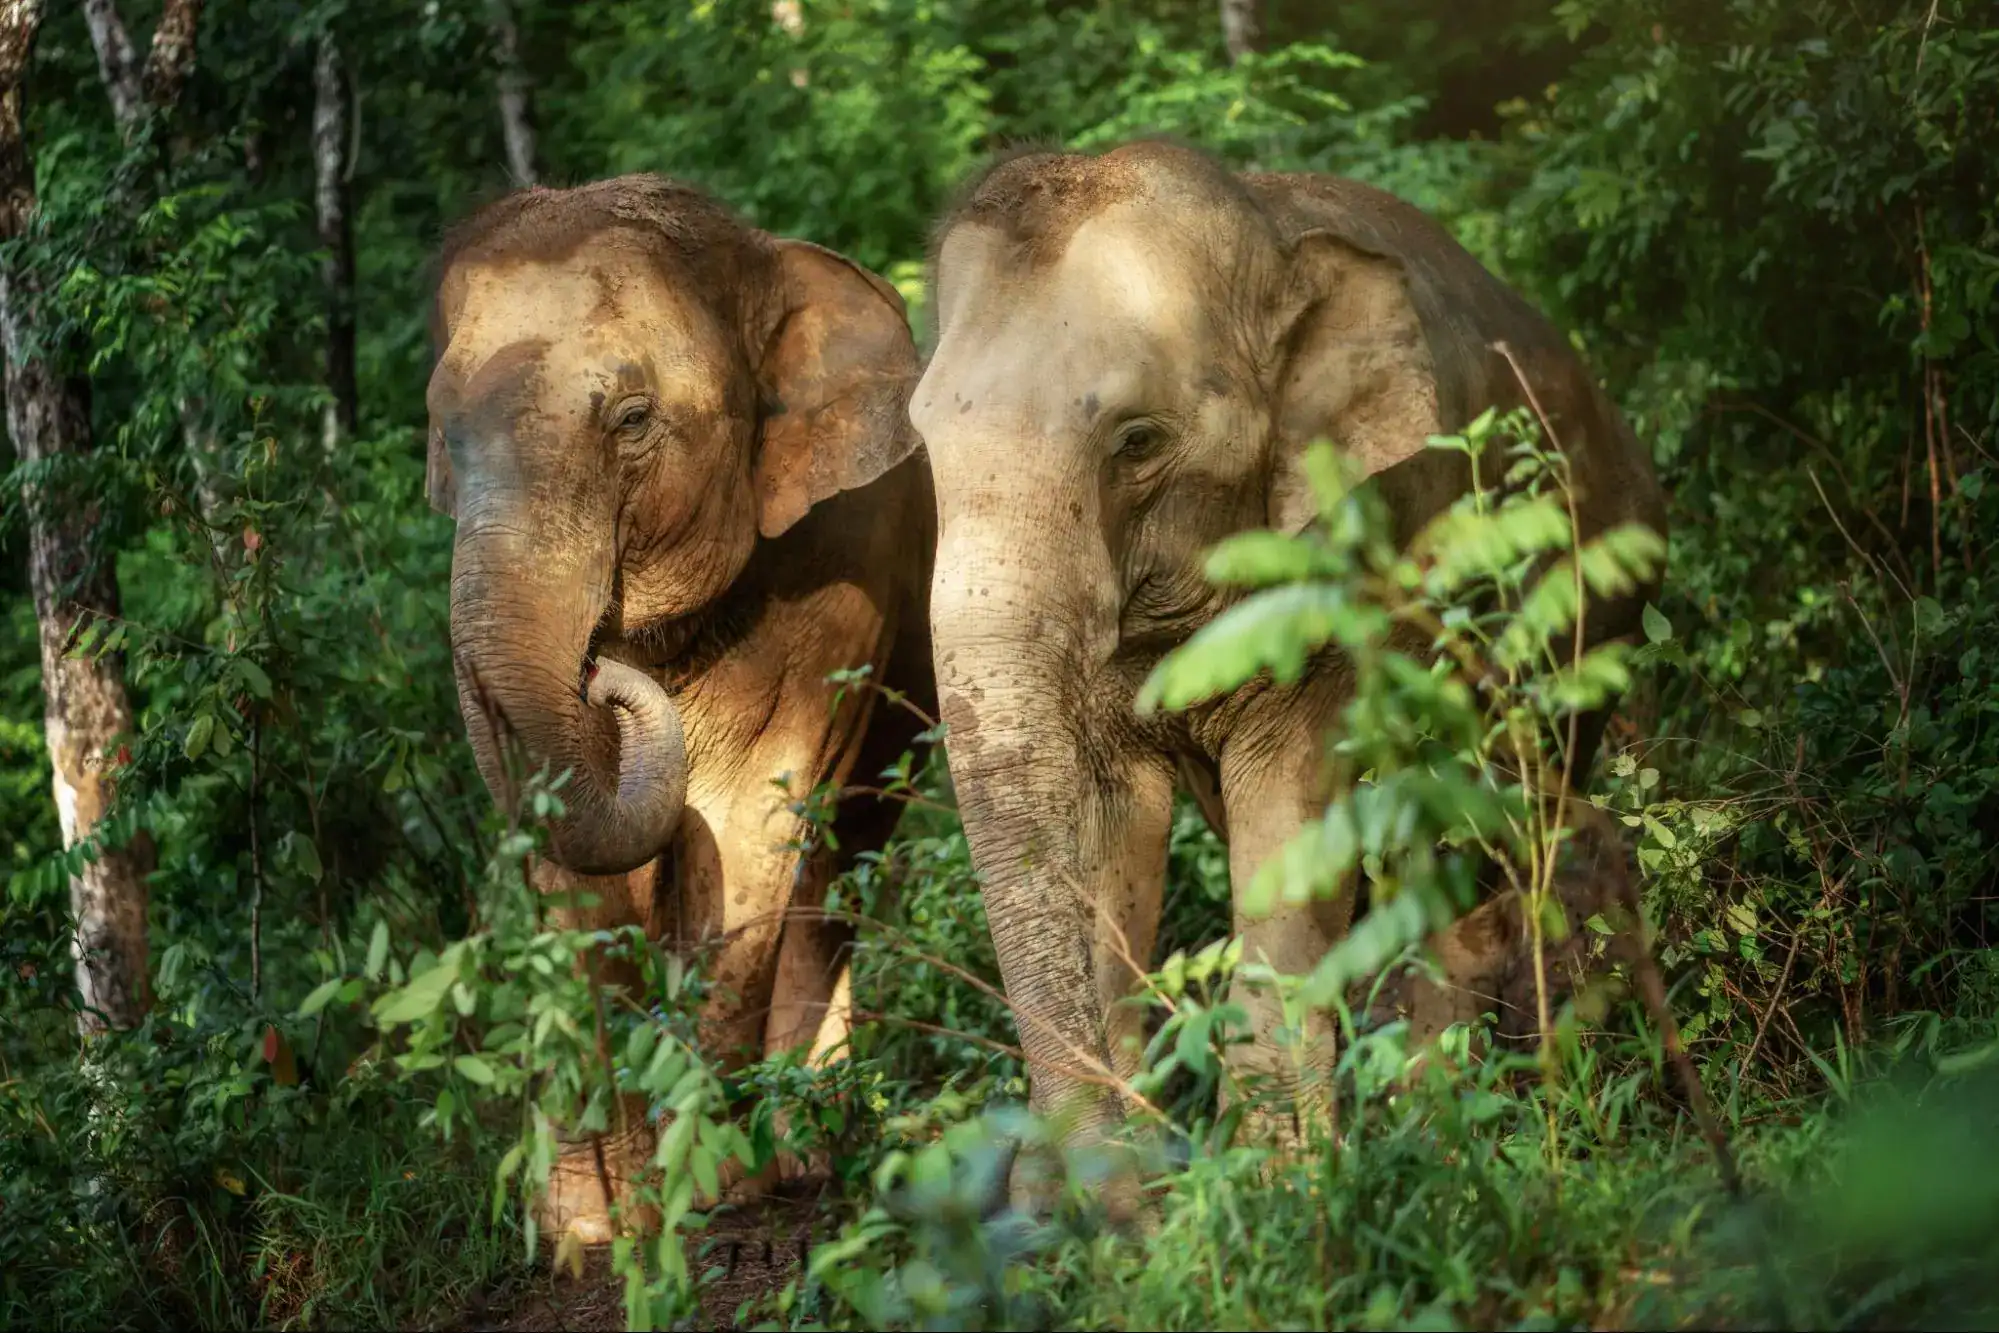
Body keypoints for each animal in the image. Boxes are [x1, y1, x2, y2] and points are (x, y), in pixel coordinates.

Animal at [425, 174, 935, 1244]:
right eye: (443, 428)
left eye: (630, 419)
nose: (599, 677)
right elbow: (574, 868)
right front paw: (590, 1225)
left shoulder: (846, 571)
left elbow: (755, 830)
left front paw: (714, 1189)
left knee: (841, 861)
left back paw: (805, 1147)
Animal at [909, 140, 1667, 1189]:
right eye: (922, 441)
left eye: (1136, 440)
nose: (1079, 1186)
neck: (1268, 239)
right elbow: (1104, 832)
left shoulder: (1361, 550)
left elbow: (1289, 817)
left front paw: (1277, 1185)